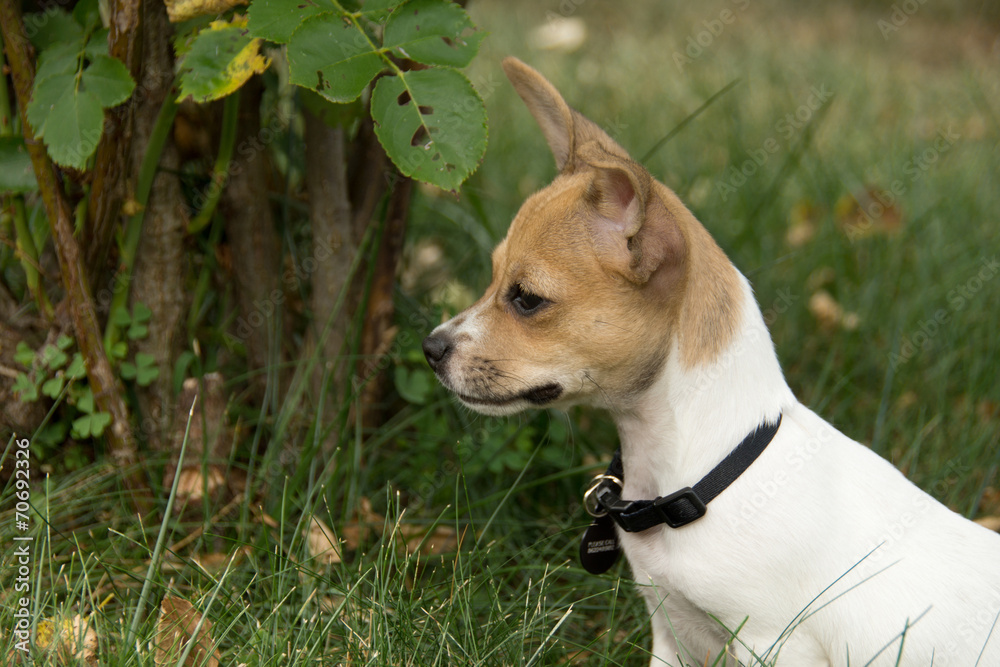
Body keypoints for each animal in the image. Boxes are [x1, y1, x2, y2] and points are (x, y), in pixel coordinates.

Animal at [422, 58, 1000, 667]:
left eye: (527, 299)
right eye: (492, 279)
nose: (430, 348)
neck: (706, 473)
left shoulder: (774, 644)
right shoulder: (670, 634)